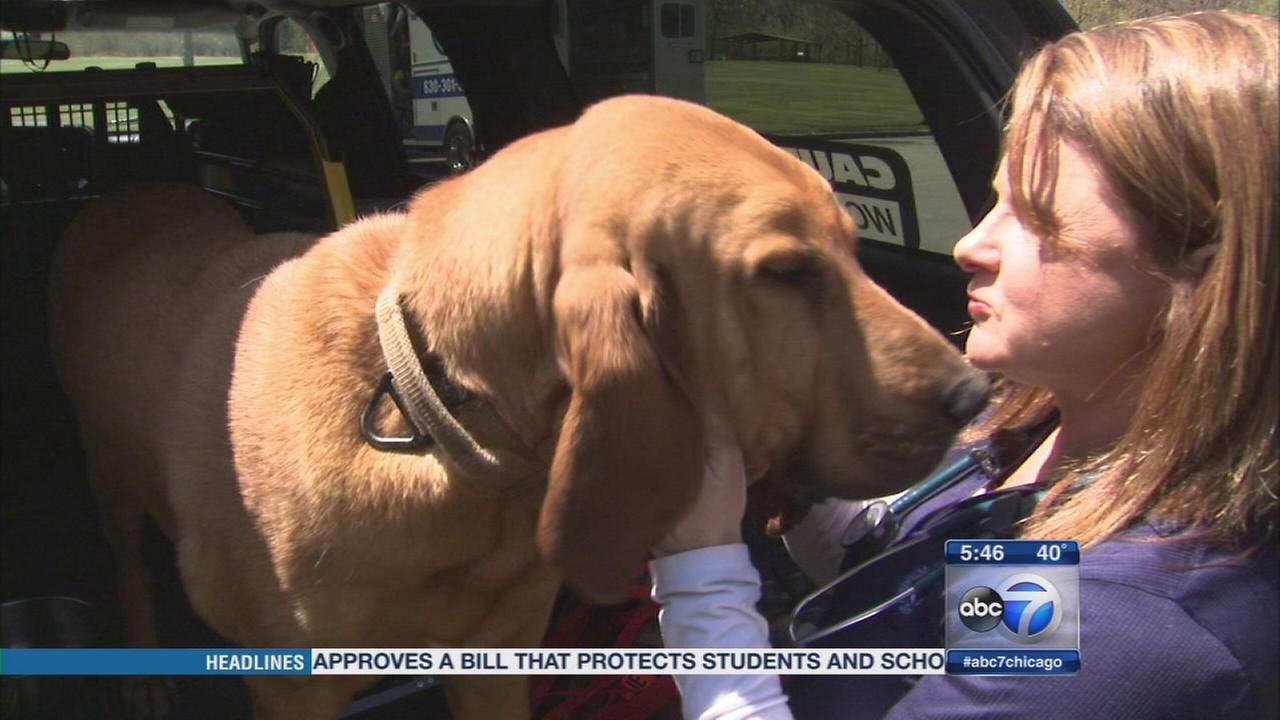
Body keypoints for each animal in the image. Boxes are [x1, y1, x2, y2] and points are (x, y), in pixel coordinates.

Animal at [47, 95, 988, 717]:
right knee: (127, 564)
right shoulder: (296, 688)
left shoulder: (496, 664)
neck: (431, 425)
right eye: (786, 273)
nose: (973, 392)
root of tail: (129, 191)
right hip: (104, 468)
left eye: (853, 247)